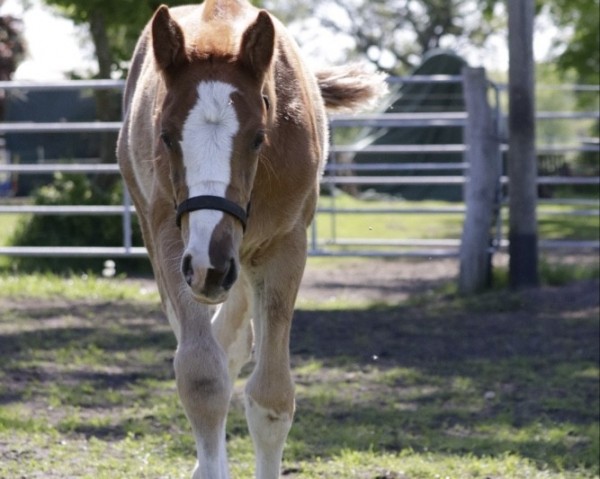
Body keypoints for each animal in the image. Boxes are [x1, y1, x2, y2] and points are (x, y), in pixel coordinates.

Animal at [117, 1, 386, 478]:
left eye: (259, 137)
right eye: (165, 136)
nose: (210, 265)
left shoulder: (284, 248)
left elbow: (271, 398)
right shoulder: (174, 244)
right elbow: (202, 378)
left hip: (241, 261)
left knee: (234, 340)